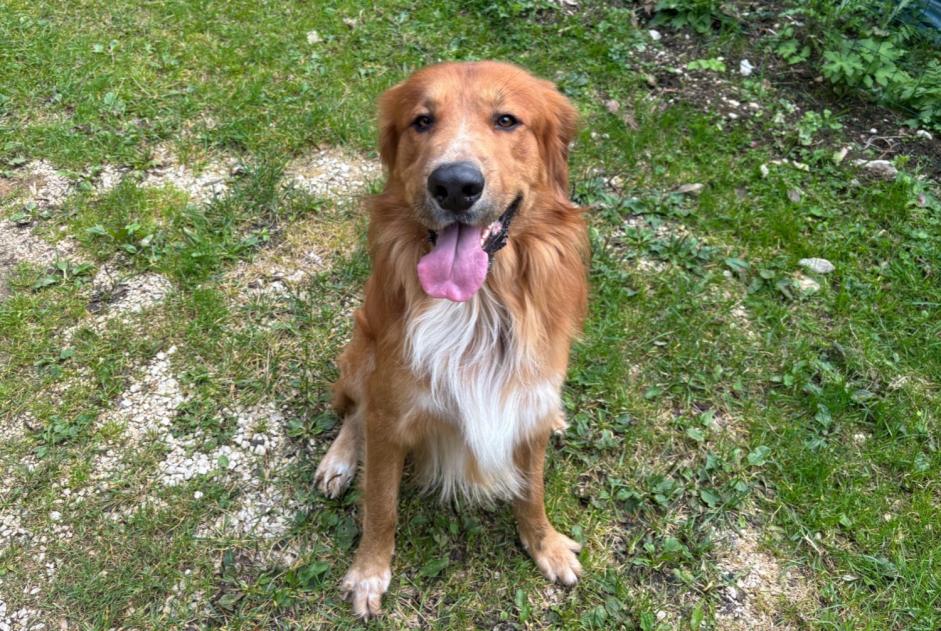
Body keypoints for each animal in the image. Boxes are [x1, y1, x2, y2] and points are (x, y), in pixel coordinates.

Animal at [316, 63, 588, 616]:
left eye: (506, 120)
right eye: (422, 121)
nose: (455, 185)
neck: (480, 307)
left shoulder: (526, 401)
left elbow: (532, 491)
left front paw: (545, 545)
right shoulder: (391, 413)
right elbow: (381, 505)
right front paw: (369, 572)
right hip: (362, 347)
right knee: (354, 411)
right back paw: (339, 458)